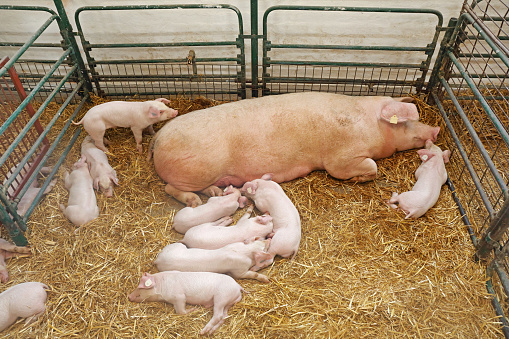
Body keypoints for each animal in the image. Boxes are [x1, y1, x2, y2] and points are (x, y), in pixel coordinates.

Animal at [150, 91, 436, 206]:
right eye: (406, 121)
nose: (435, 130)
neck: (370, 124)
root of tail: (159, 138)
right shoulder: (341, 159)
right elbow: (371, 166)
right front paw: (357, 179)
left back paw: (215, 192)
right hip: (191, 172)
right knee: (169, 188)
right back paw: (195, 201)